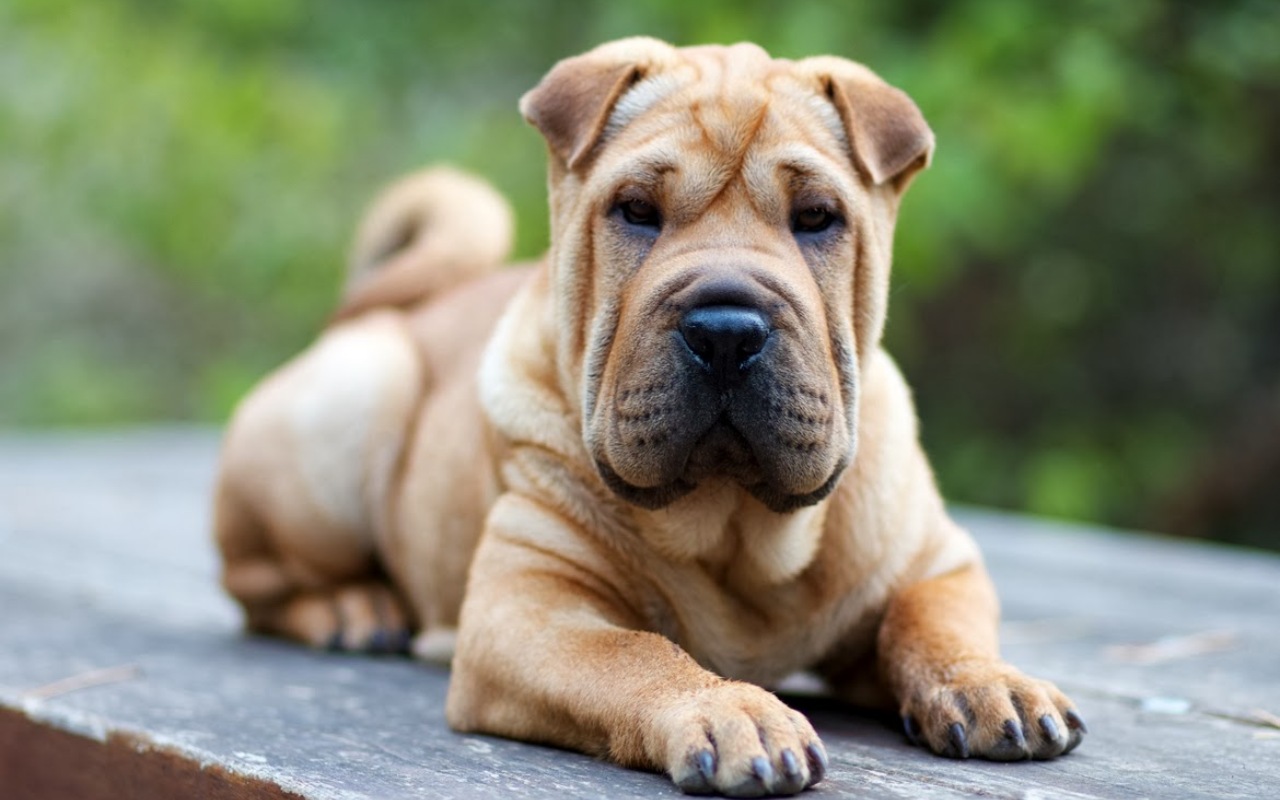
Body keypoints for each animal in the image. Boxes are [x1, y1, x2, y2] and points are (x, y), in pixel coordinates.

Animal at [215, 35, 1085, 793]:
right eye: (636, 210)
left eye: (817, 218)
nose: (726, 331)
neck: (739, 531)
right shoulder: (527, 607)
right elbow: (635, 653)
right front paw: (733, 712)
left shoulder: (931, 560)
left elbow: (934, 623)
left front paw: (990, 683)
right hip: (351, 406)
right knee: (256, 582)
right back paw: (351, 606)